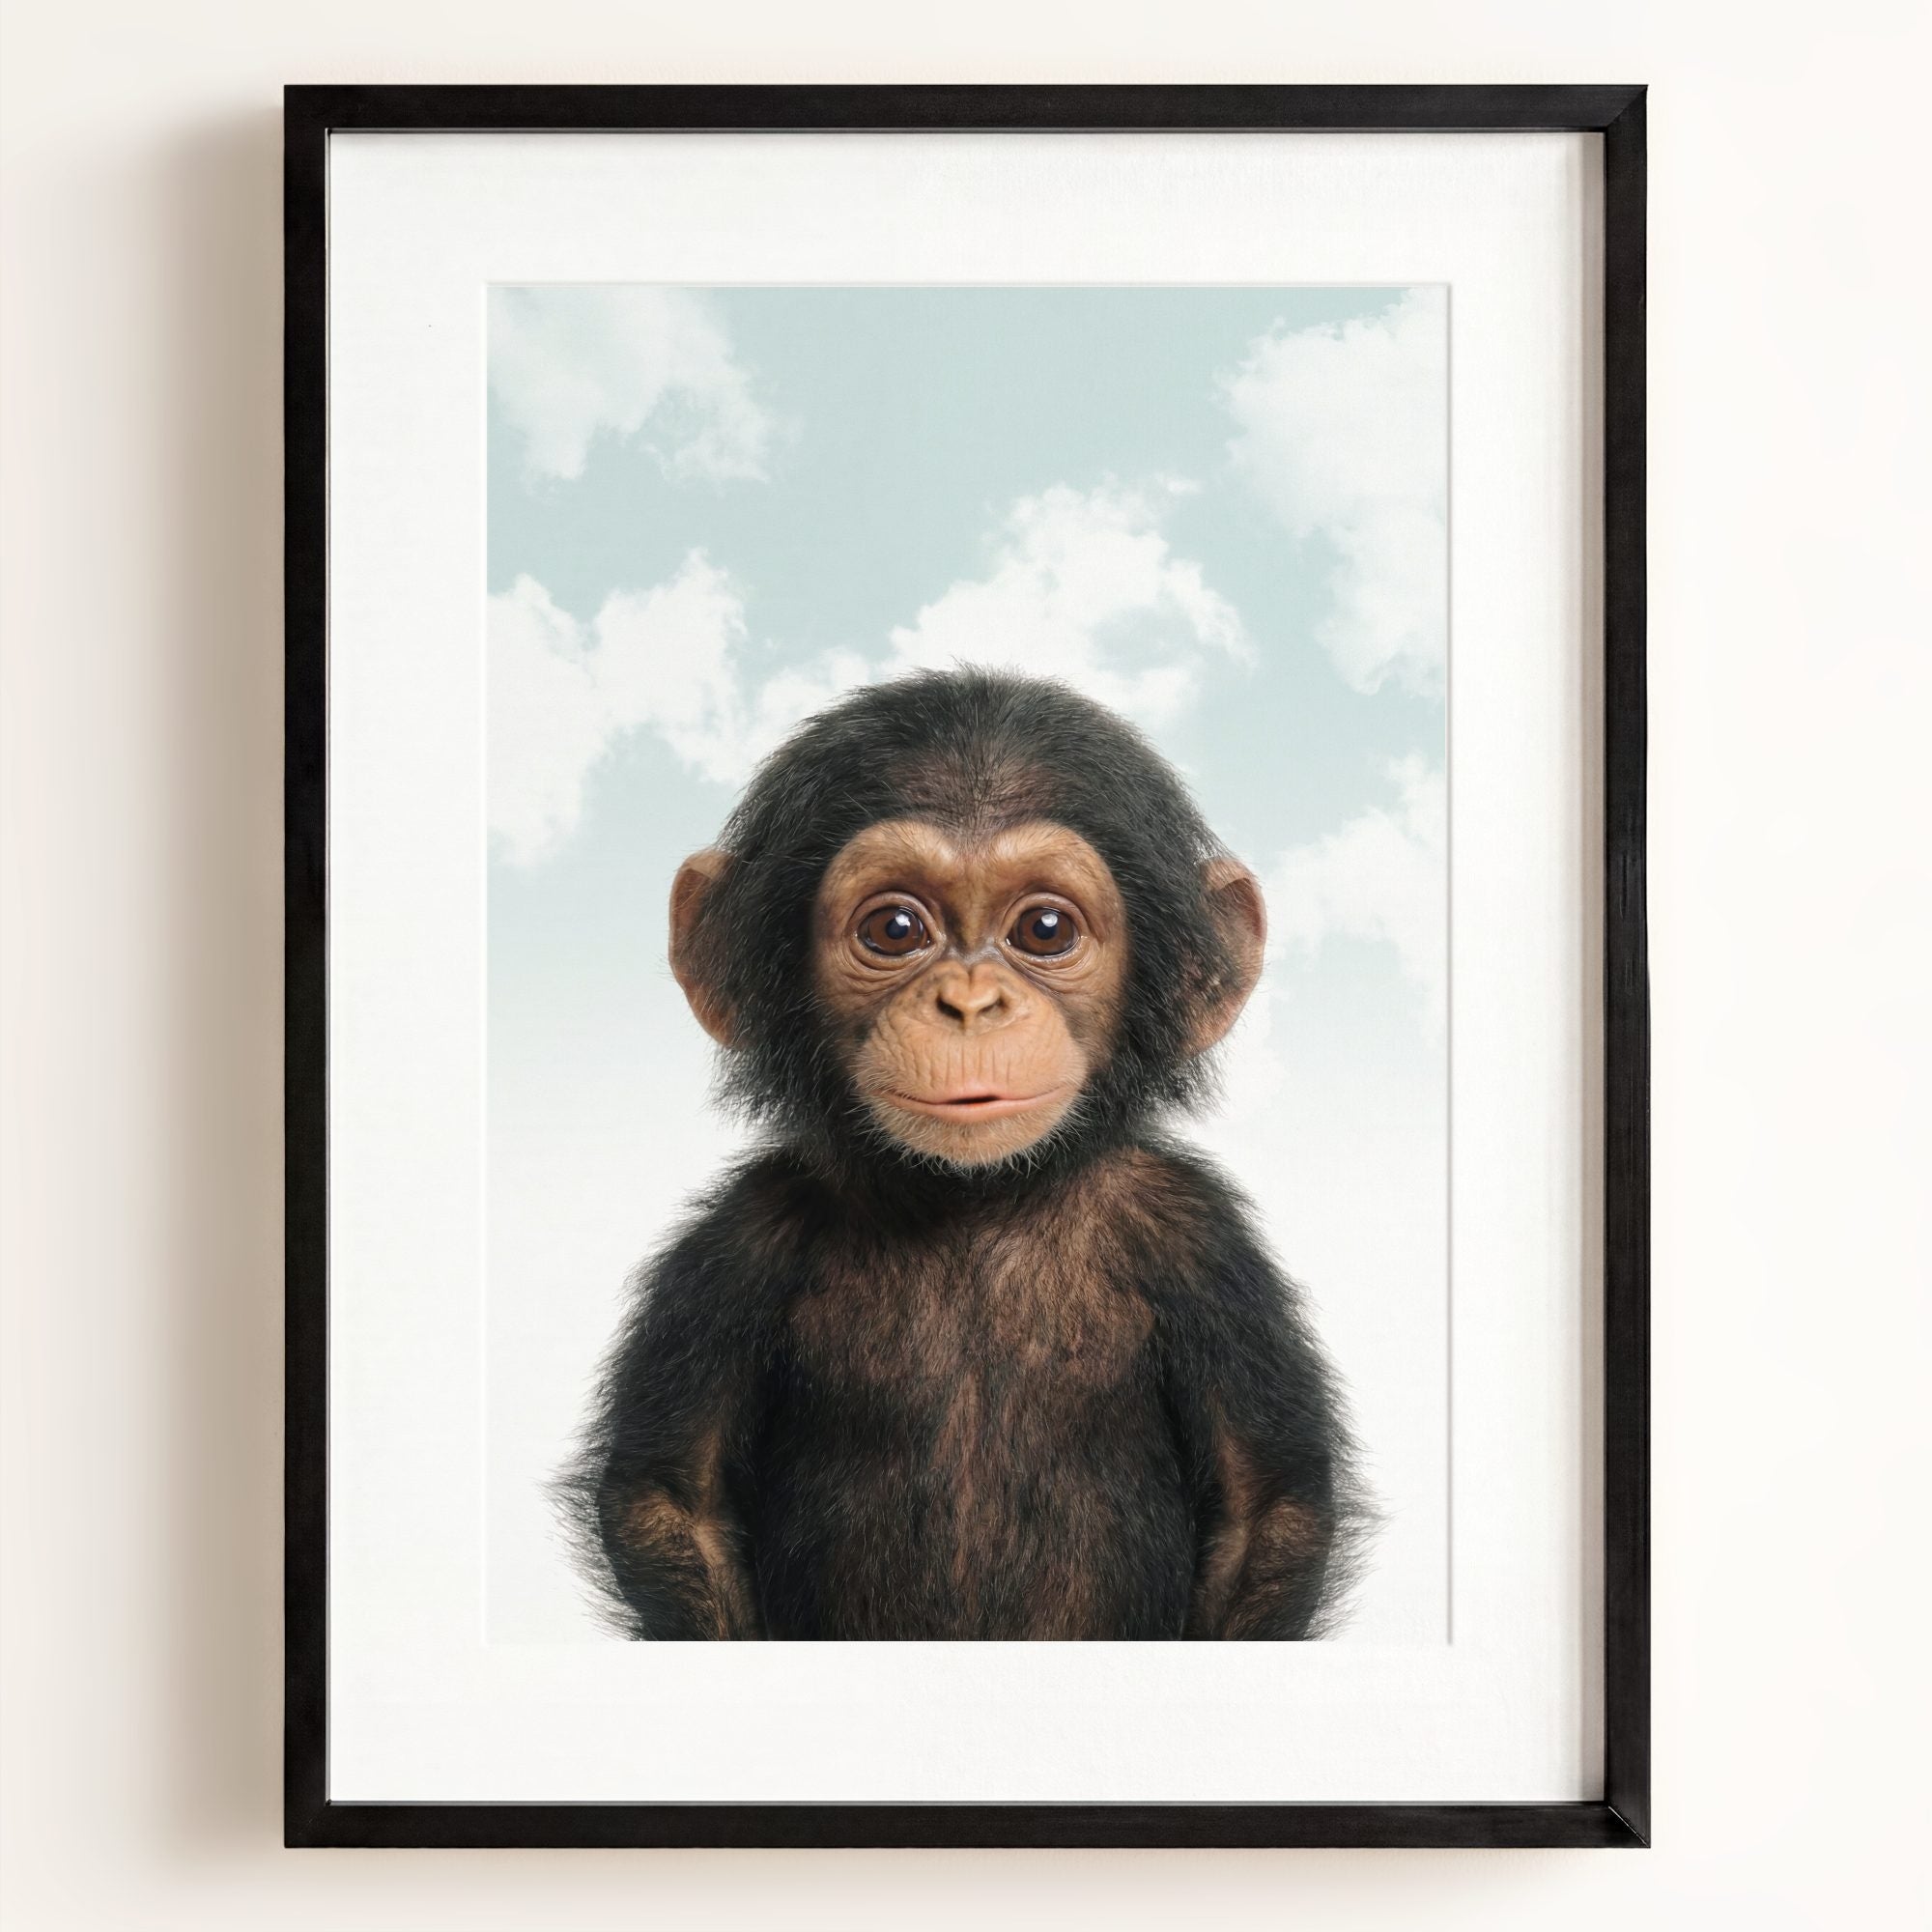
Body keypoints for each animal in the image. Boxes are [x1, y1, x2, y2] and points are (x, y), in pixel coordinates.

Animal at [564, 668, 1365, 1640]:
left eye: (1046, 929)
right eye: (897, 929)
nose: (972, 1003)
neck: (972, 1199)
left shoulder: (1200, 1241)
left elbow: (1266, 1509)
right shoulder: (738, 1244)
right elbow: (672, 1500)